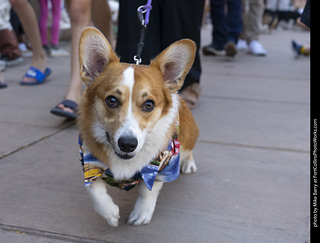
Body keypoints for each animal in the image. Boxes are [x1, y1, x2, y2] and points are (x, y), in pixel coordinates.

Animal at [76, 27, 199, 227]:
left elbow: (147, 190)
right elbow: (94, 190)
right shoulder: (89, 162)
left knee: (188, 151)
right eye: (112, 100)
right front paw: (110, 213)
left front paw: (141, 214)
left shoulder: (161, 167)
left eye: (149, 104)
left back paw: (188, 163)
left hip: (188, 137)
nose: (127, 144)